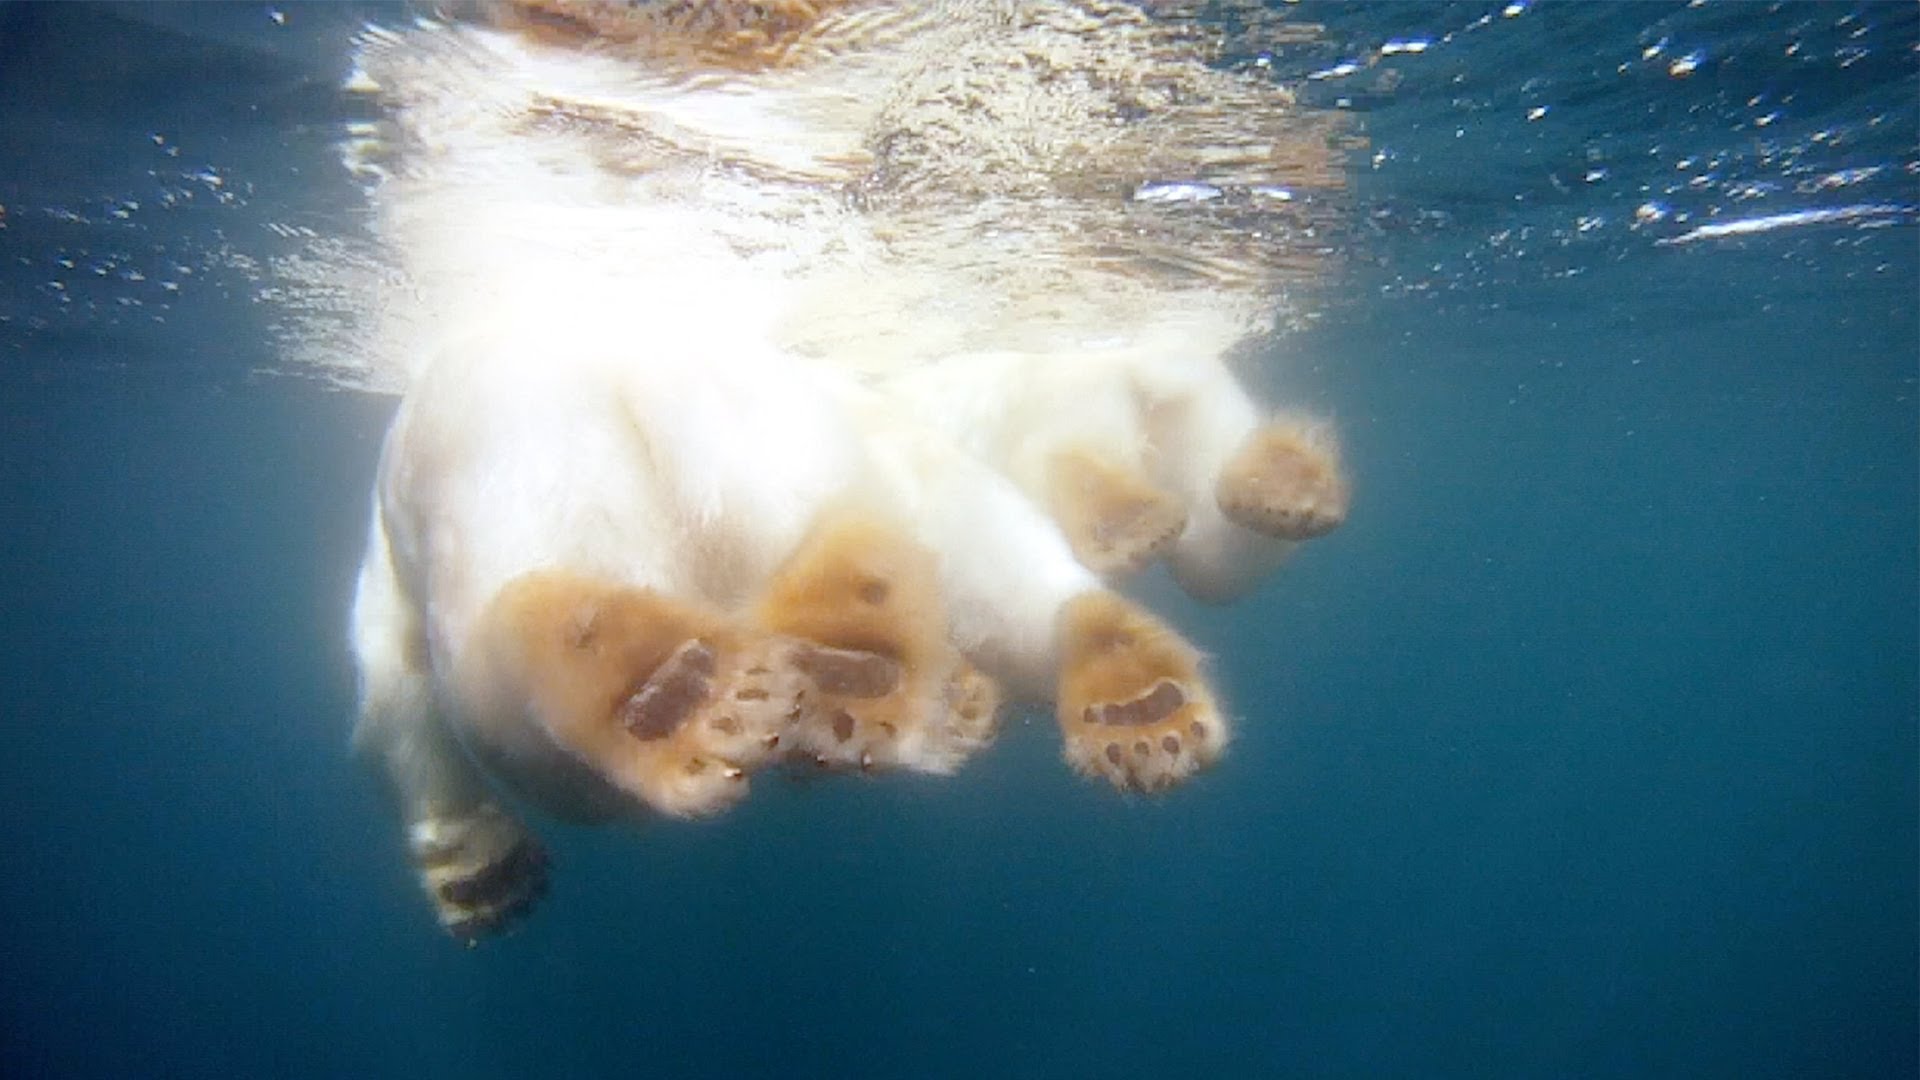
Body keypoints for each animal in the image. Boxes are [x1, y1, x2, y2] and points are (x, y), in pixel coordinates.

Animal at [335, 0, 1352, 938]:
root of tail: (628, 368)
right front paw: (961, 706)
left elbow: (392, 710)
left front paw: (485, 877)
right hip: (799, 436)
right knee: (1020, 544)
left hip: (516, 481)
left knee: (503, 683)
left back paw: (681, 688)